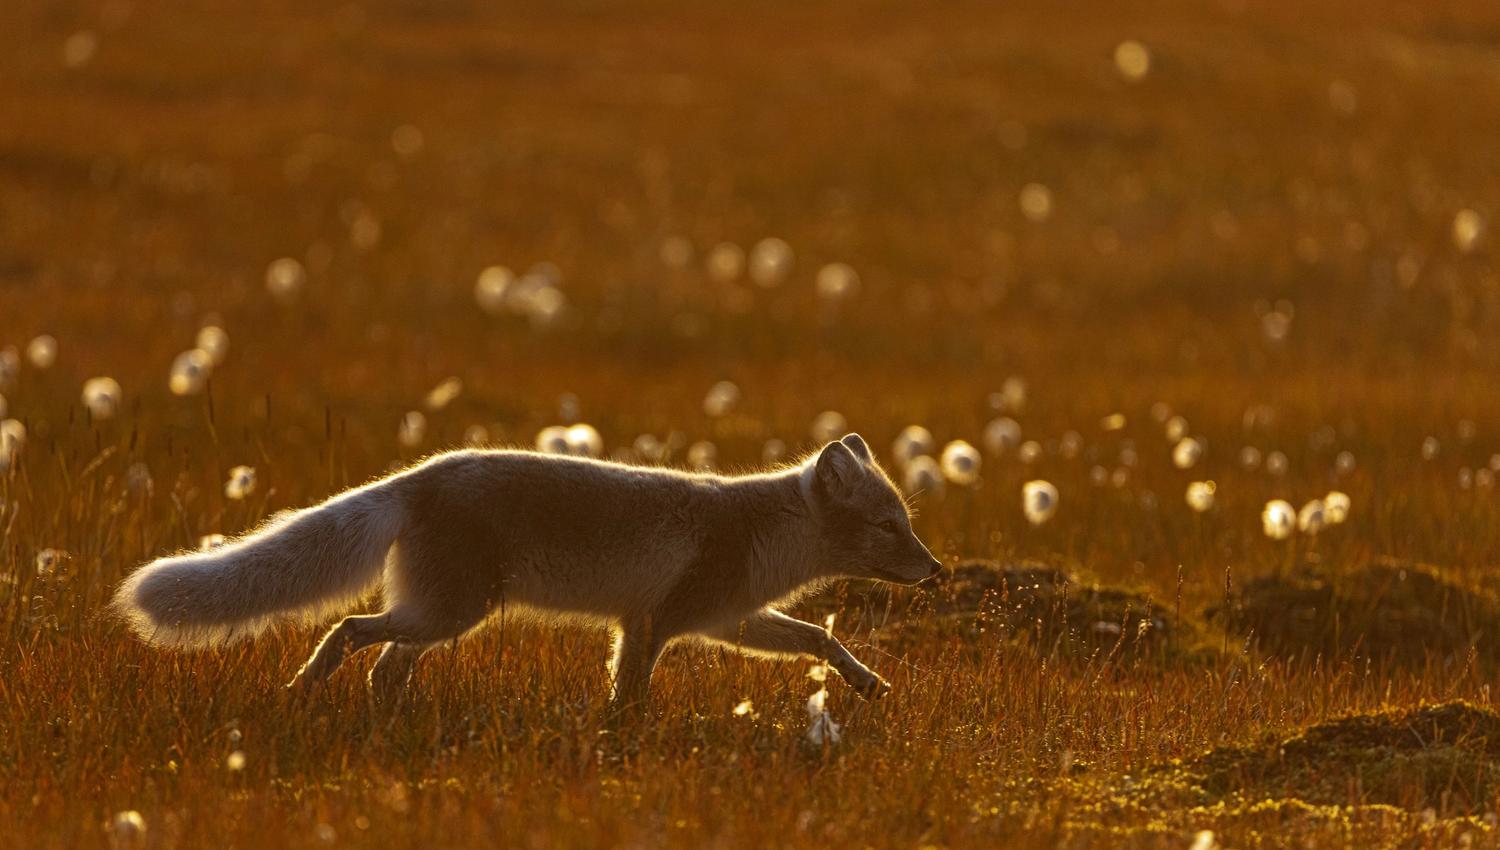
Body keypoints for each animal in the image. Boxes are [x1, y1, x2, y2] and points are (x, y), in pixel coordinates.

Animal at [111, 432, 942, 711]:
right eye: (890, 527)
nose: (936, 570)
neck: (767, 537)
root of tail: (418, 476)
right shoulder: (656, 623)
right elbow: (629, 691)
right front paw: (622, 741)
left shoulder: (728, 620)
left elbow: (820, 641)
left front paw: (867, 684)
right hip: (450, 612)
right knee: (349, 630)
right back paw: (306, 688)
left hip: (444, 615)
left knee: (385, 663)